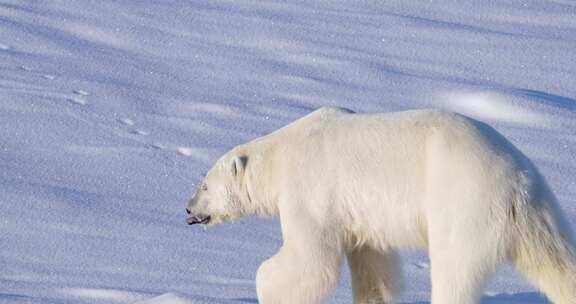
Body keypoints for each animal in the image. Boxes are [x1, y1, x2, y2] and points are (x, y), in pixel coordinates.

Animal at [186, 107, 576, 304]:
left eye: (204, 184)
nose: (188, 209)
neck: (281, 154)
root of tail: (516, 180)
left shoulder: (310, 191)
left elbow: (311, 262)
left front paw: (266, 287)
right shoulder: (359, 215)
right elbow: (373, 264)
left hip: (465, 205)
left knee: (453, 271)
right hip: (539, 214)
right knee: (557, 263)